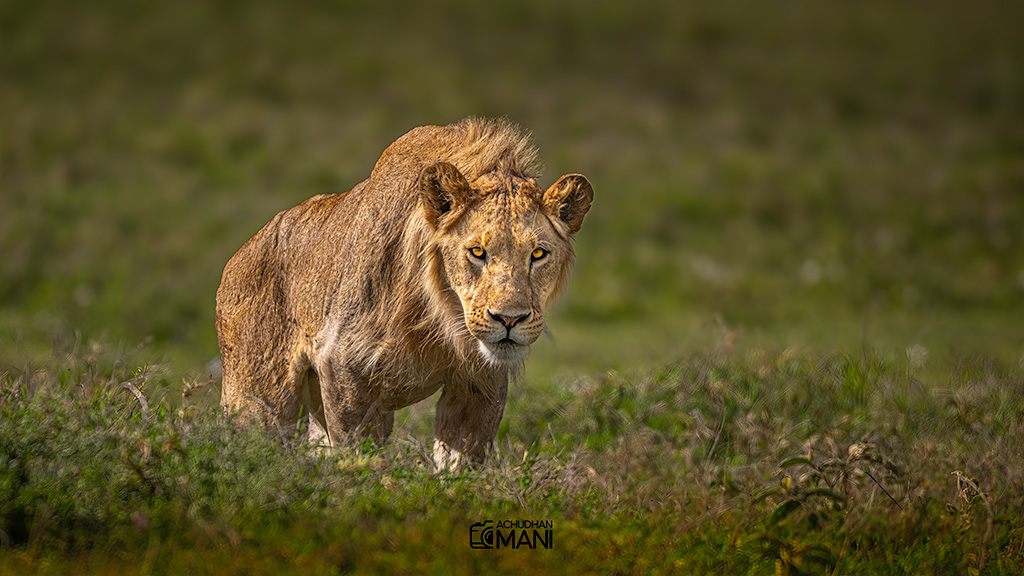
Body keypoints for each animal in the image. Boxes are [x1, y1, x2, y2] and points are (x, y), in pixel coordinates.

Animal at [215, 117, 593, 469]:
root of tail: (238, 256)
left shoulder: (480, 381)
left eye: (538, 254)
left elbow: (461, 466)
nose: (510, 320)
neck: (438, 317)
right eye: (477, 252)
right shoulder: (342, 363)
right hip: (261, 402)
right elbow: (358, 456)